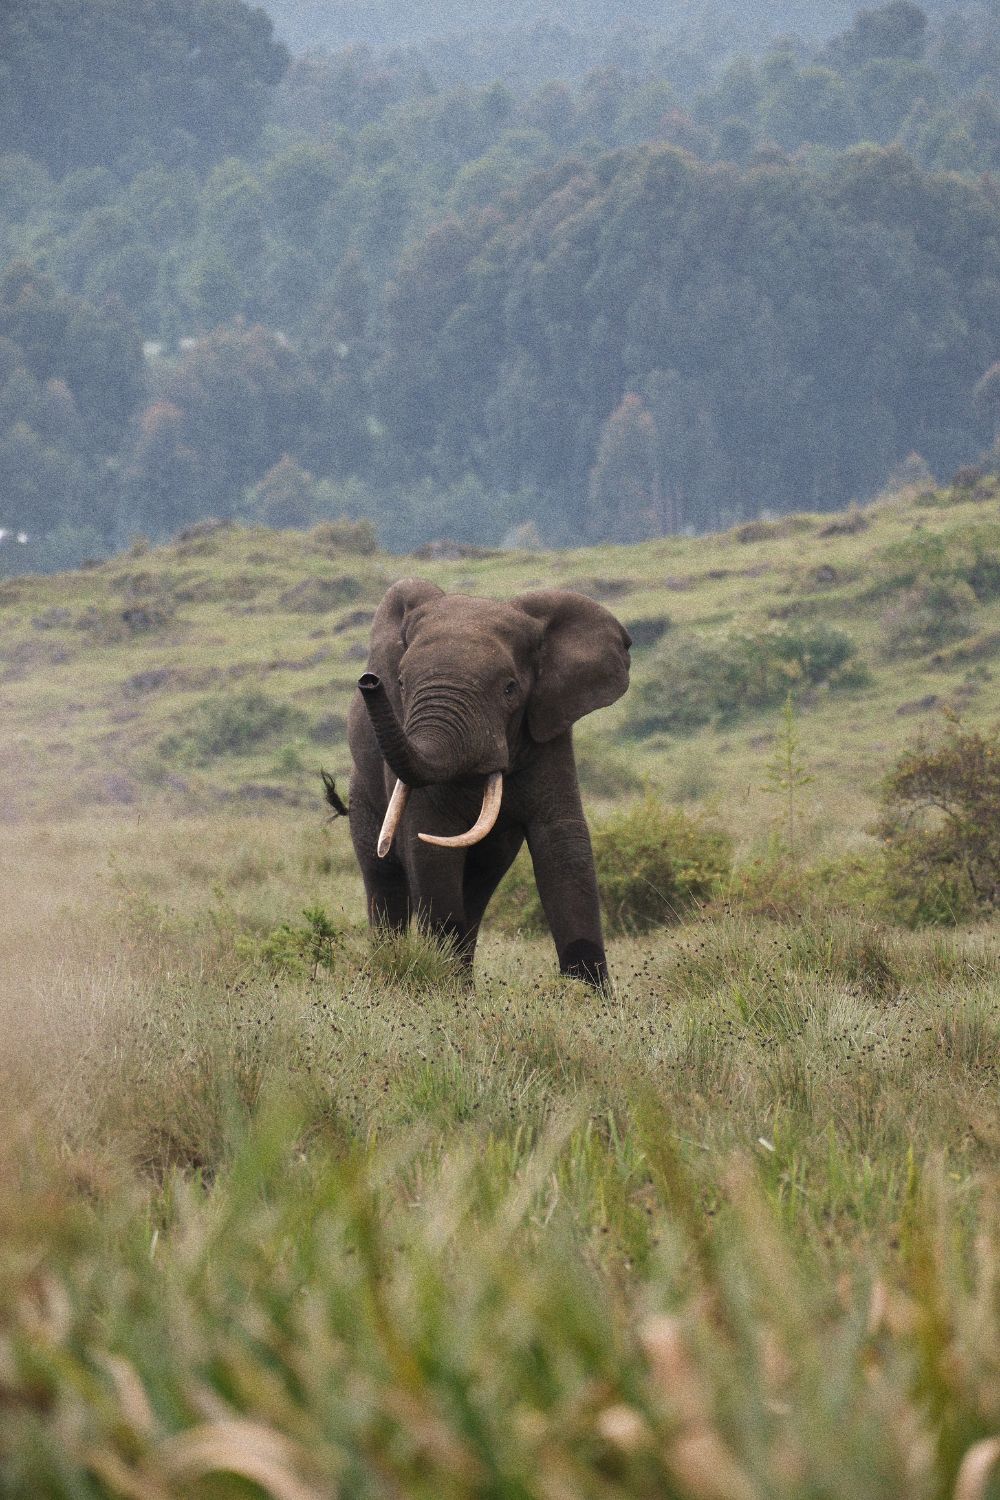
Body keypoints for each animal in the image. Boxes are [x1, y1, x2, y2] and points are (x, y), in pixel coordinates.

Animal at [344, 579, 631, 988]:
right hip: (363, 792)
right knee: (384, 879)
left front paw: (590, 997)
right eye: (400, 682)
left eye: (510, 689)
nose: (369, 682)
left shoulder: (549, 728)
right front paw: (441, 989)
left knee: (478, 887)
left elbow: (564, 843)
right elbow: (428, 844)